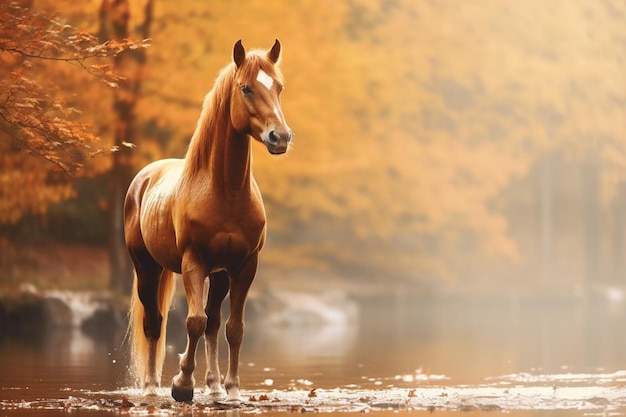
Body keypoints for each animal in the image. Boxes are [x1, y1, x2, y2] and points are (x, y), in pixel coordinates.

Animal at [123, 39, 292, 404]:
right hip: (146, 267)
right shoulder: (194, 262)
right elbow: (194, 322)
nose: (280, 137)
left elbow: (233, 328)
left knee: (215, 322)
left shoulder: (243, 265)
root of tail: (144, 176)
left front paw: (232, 389)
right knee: (155, 322)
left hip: (219, 275)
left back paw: (213, 385)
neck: (225, 191)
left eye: (279, 87)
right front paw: (182, 383)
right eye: (246, 88)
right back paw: (152, 386)